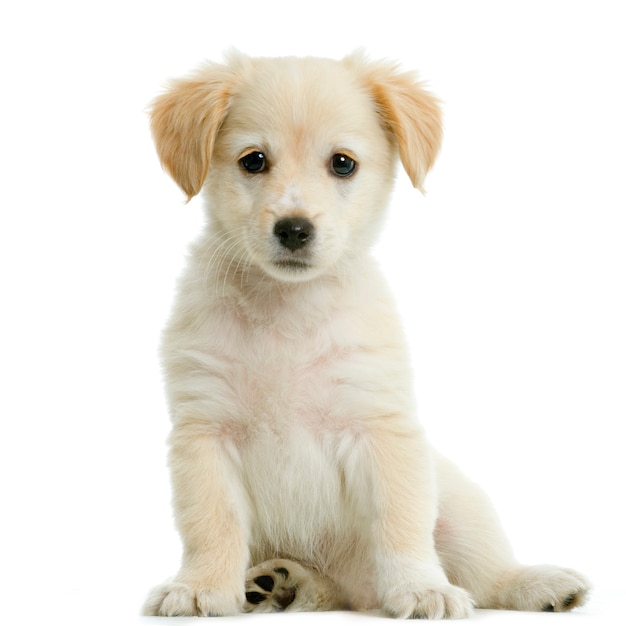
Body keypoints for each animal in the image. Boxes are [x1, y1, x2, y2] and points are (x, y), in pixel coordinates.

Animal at [144, 51, 588, 616]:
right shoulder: (205, 433)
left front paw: (420, 588)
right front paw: (202, 587)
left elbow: (400, 522)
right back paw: (278, 583)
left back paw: (537, 584)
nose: (294, 229)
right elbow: (211, 522)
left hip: (460, 504)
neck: (289, 310)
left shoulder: (378, 428)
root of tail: (361, 595)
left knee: (486, 573)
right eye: (253, 161)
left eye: (342, 163)